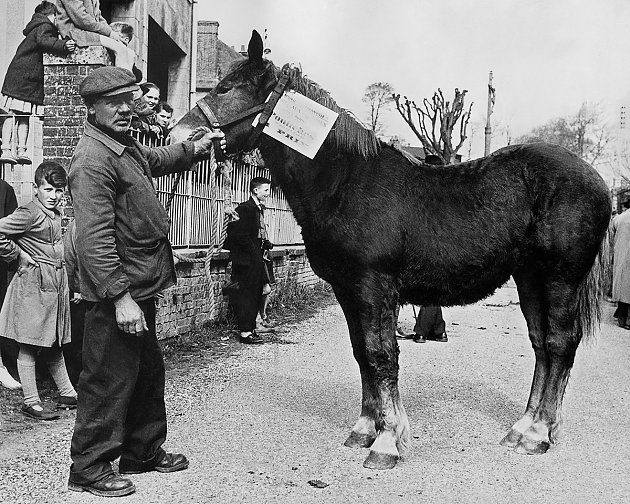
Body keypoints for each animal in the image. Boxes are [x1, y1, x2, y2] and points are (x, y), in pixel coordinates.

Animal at [168, 29, 612, 470]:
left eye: (228, 88)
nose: (178, 136)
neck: (345, 182)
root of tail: (598, 181)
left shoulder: (374, 287)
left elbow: (381, 355)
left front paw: (387, 441)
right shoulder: (347, 289)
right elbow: (362, 353)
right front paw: (366, 429)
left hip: (560, 279)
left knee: (559, 344)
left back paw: (538, 434)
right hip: (529, 278)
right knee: (541, 344)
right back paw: (524, 427)